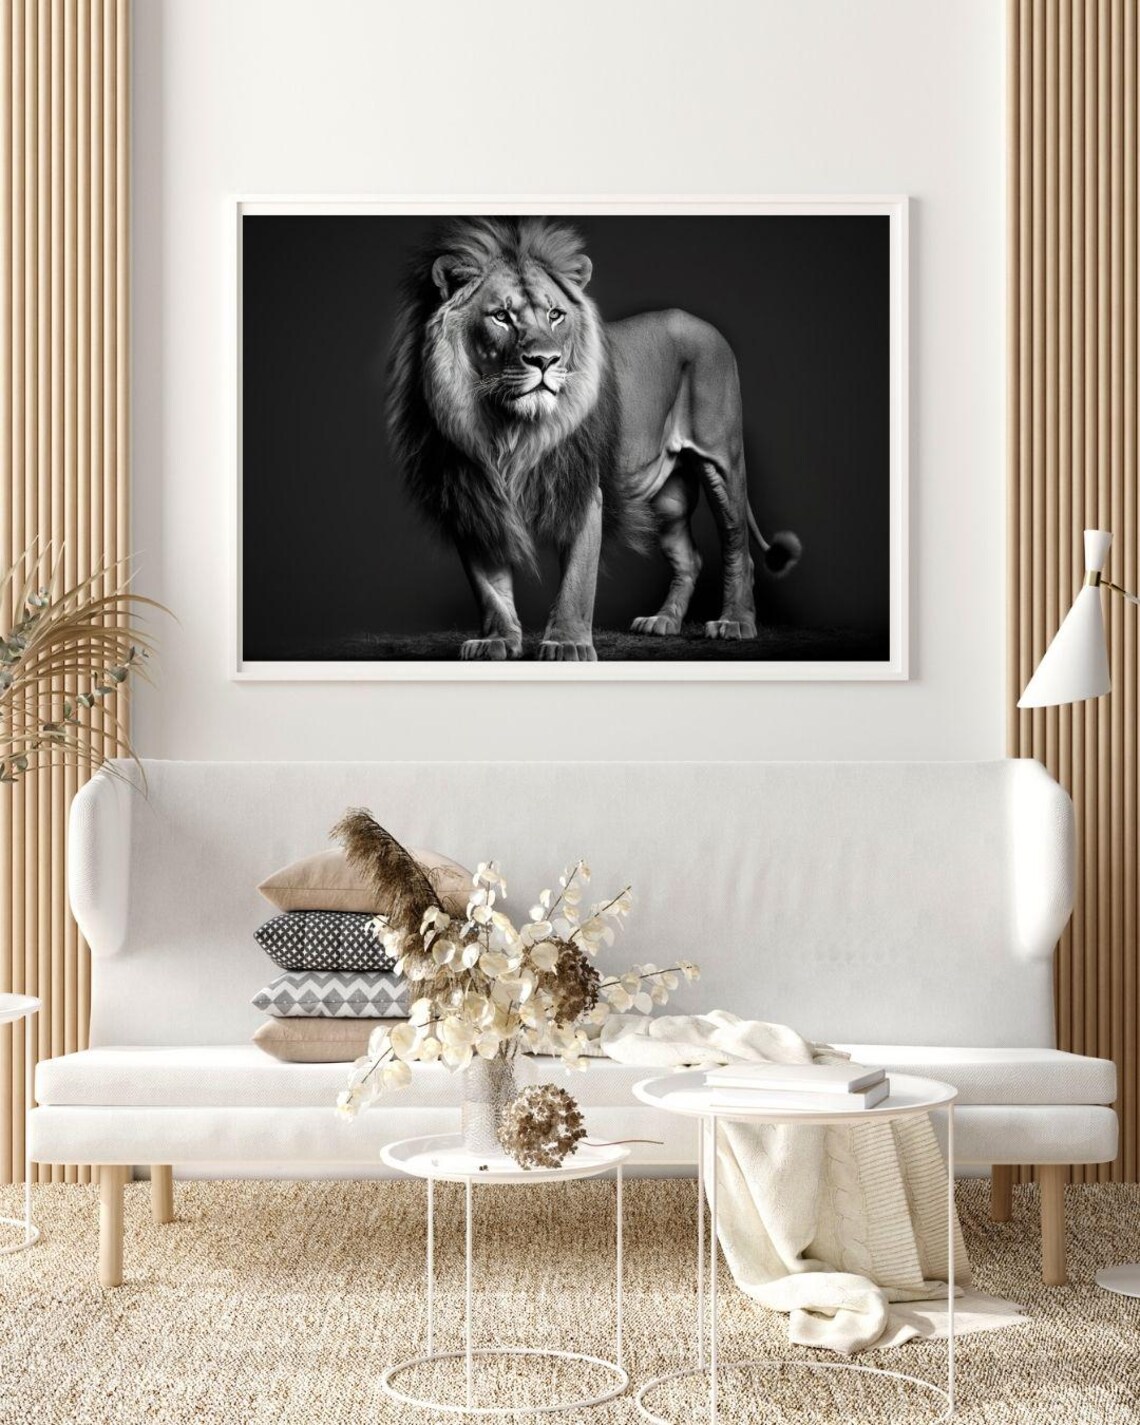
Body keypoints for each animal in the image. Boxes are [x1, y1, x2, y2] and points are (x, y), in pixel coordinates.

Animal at [387, 216, 800, 661]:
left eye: (555, 314)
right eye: (500, 316)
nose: (545, 360)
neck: (507, 428)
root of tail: (699, 321)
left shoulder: (583, 487)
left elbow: (577, 580)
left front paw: (566, 644)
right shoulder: (470, 494)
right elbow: (489, 586)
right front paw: (497, 640)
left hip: (721, 459)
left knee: (738, 546)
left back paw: (735, 622)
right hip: (667, 497)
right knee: (690, 557)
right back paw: (663, 621)